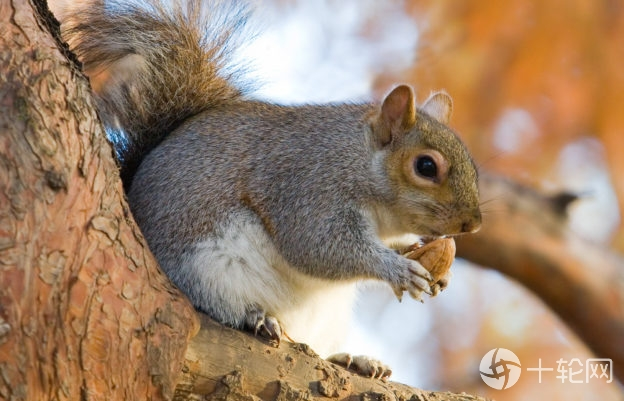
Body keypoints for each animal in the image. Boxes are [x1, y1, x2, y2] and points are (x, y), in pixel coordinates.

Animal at [63, 0, 480, 378]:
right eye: (426, 166)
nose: (472, 224)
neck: (358, 162)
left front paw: (426, 261)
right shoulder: (307, 186)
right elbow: (318, 247)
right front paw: (397, 269)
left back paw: (352, 360)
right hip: (205, 270)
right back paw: (256, 318)